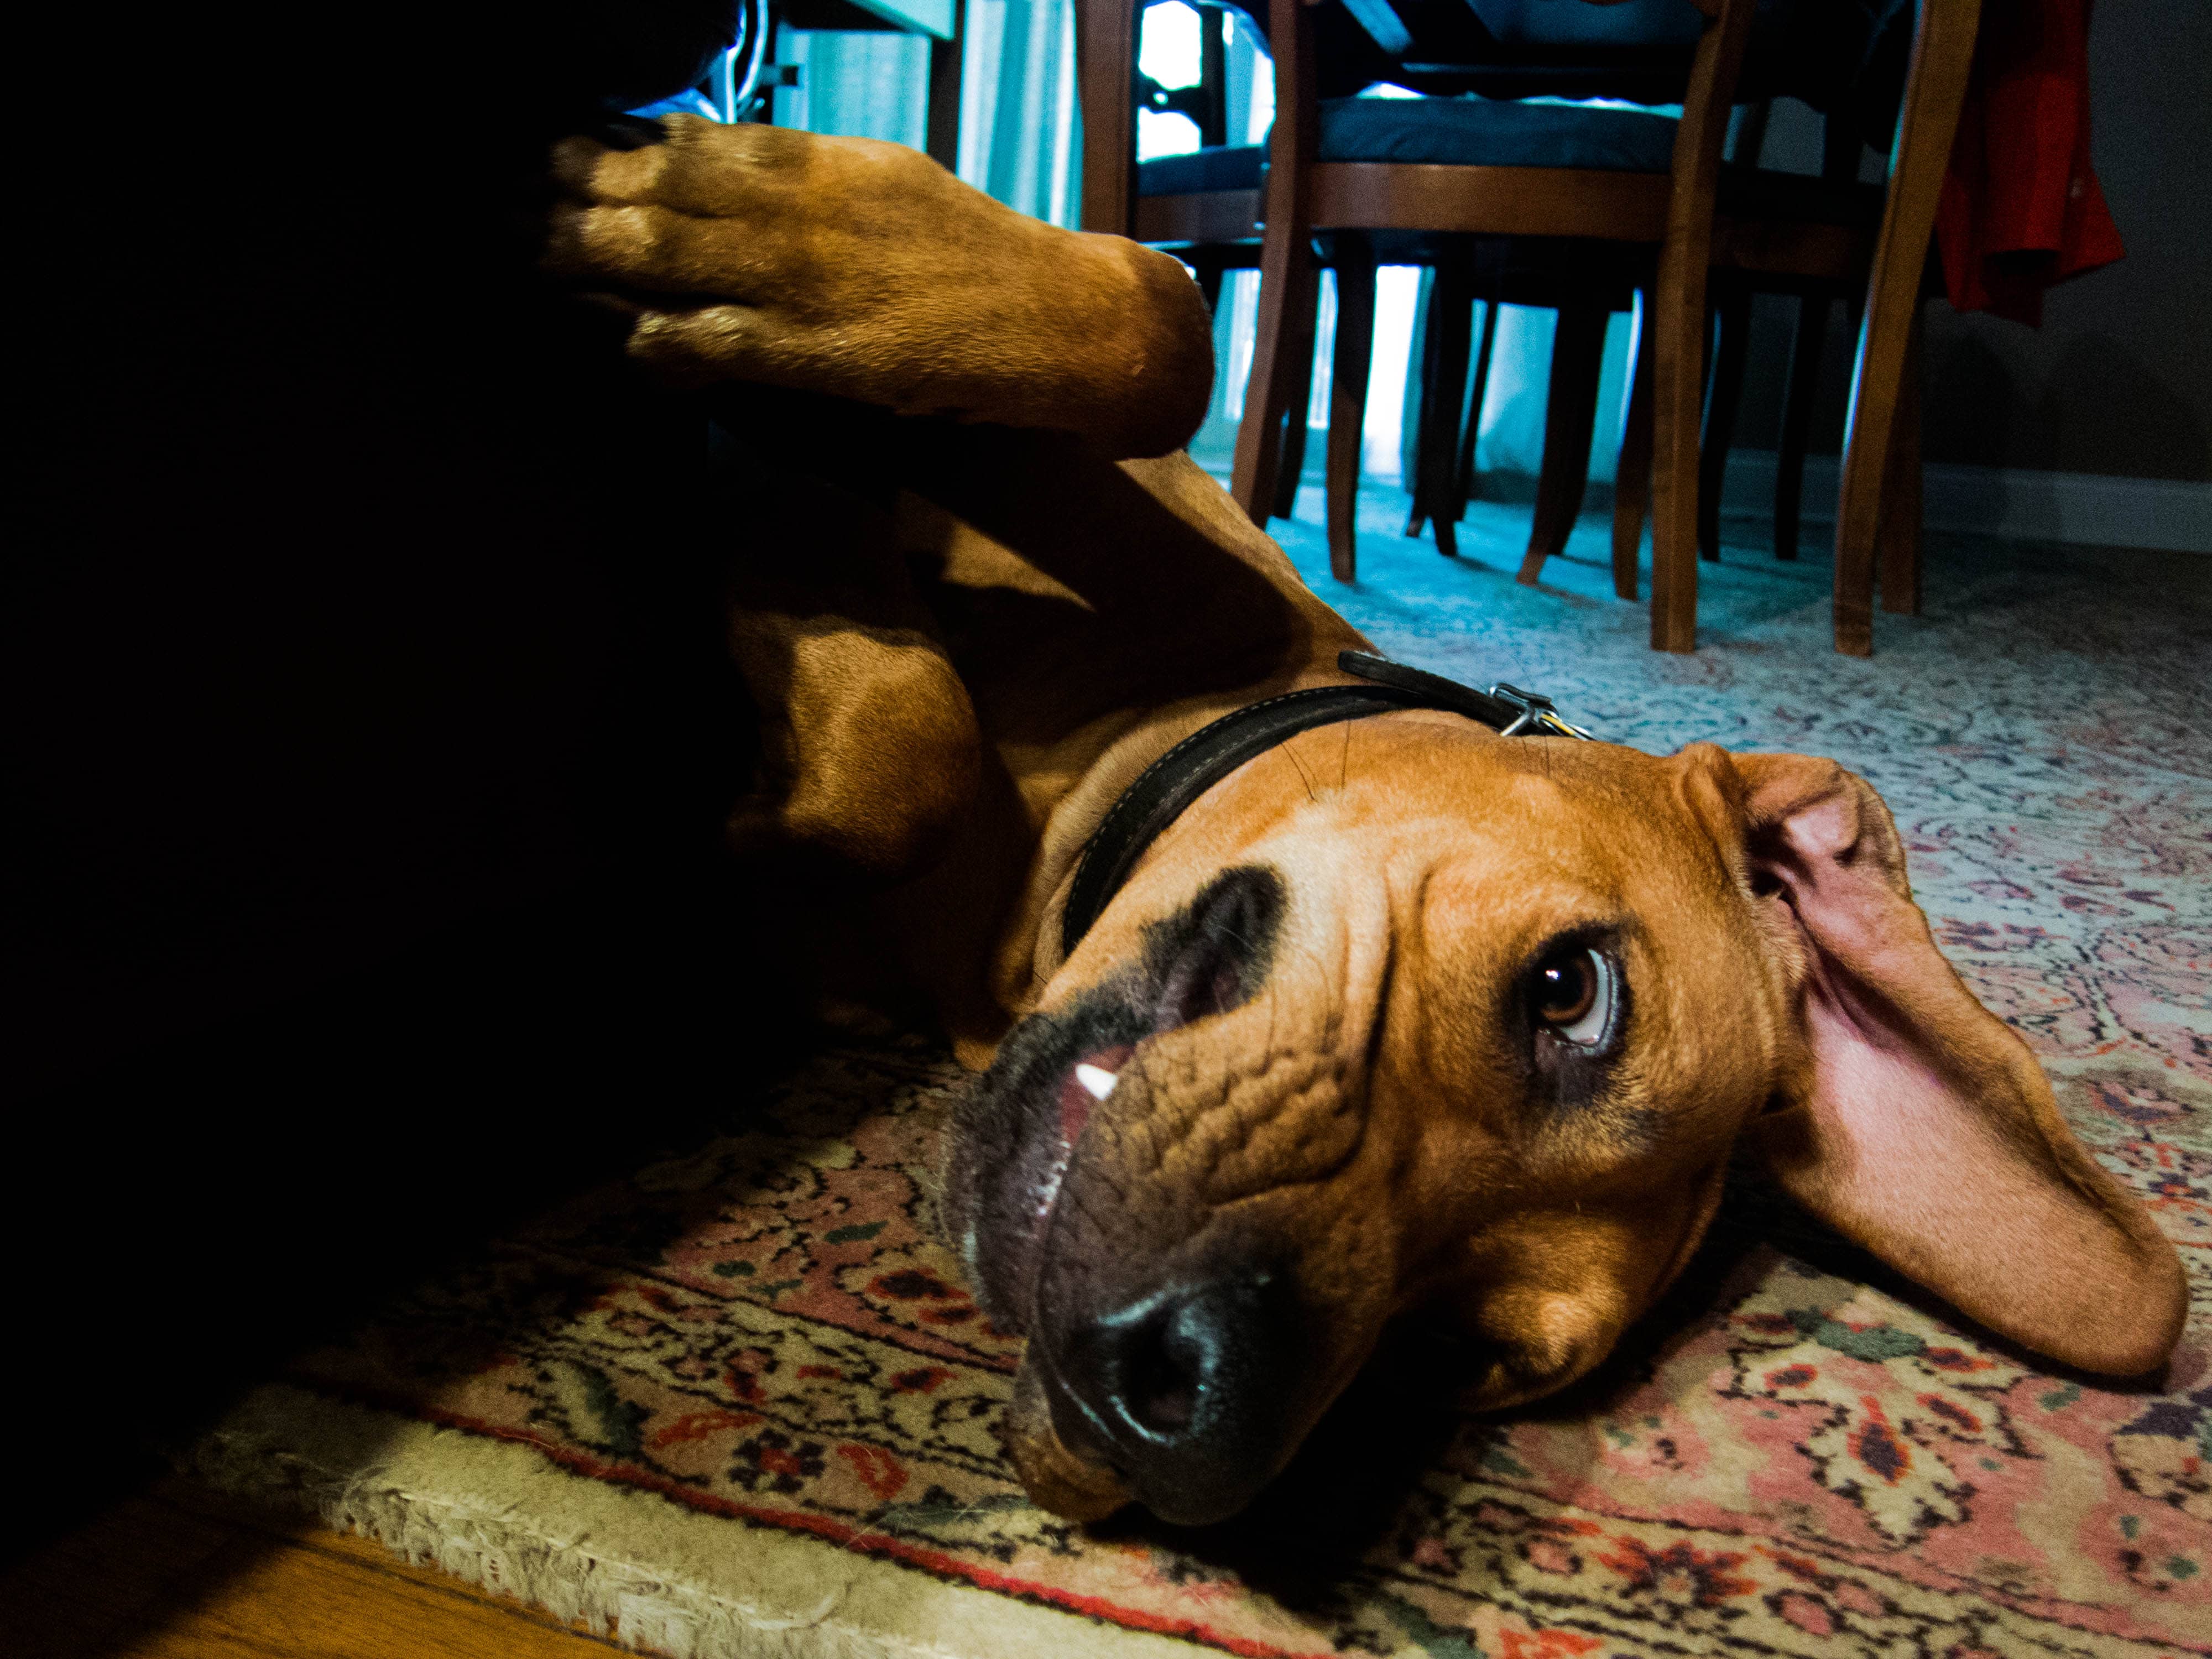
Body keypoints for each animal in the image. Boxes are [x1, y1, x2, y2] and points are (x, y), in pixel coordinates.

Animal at [544, 117, 2185, 1531]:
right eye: (1572, 992)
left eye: (1447, 1357)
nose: (1184, 1421)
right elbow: (1163, 321)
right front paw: (748, 242)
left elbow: (889, 762)